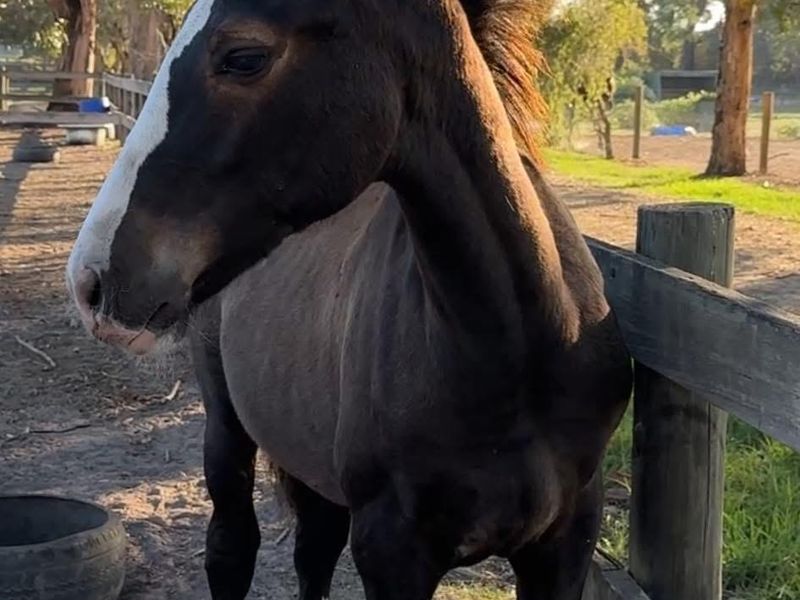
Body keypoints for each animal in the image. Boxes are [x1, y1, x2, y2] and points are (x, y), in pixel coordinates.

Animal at [65, 0, 632, 598]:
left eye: (244, 57)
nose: (90, 281)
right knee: (231, 548)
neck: (518, 361)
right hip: (226, 427)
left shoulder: (566, 543)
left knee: (312, 551)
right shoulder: (390, 551)